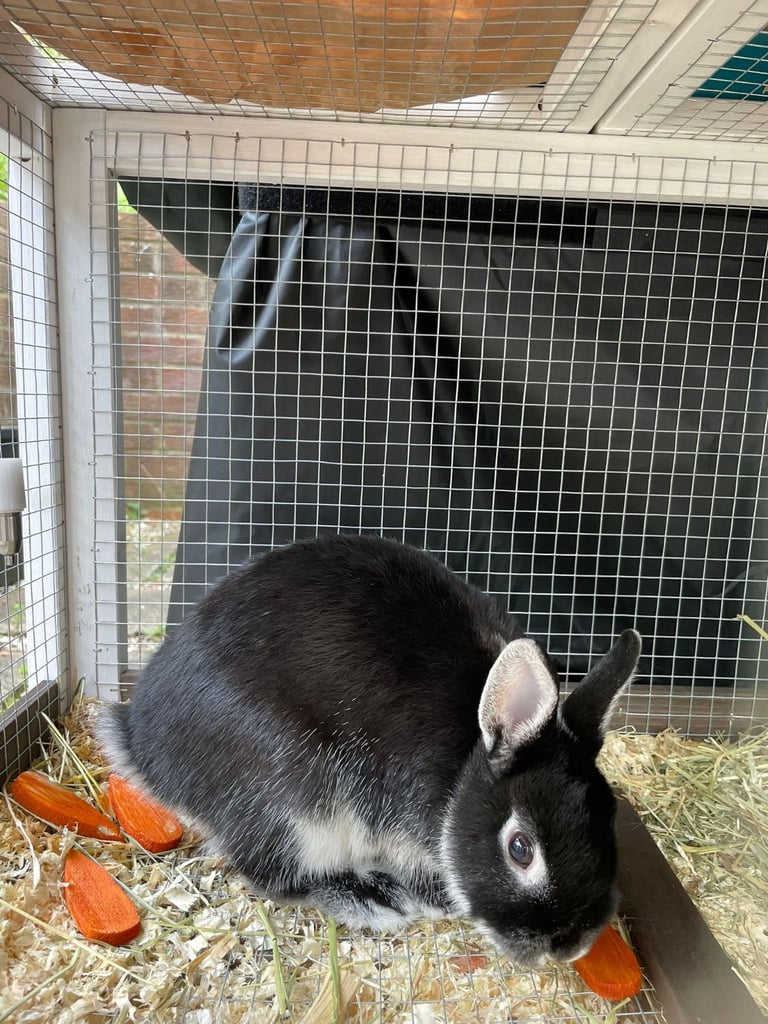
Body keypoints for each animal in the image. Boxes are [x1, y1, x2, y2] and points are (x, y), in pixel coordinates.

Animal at [98, 532, 641, 968]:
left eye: (610, 821)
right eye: (520, 849)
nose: (568, 946)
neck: (464, 764)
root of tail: (143, 747)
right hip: (293, 799)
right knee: (272, 874)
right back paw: (368, 897)